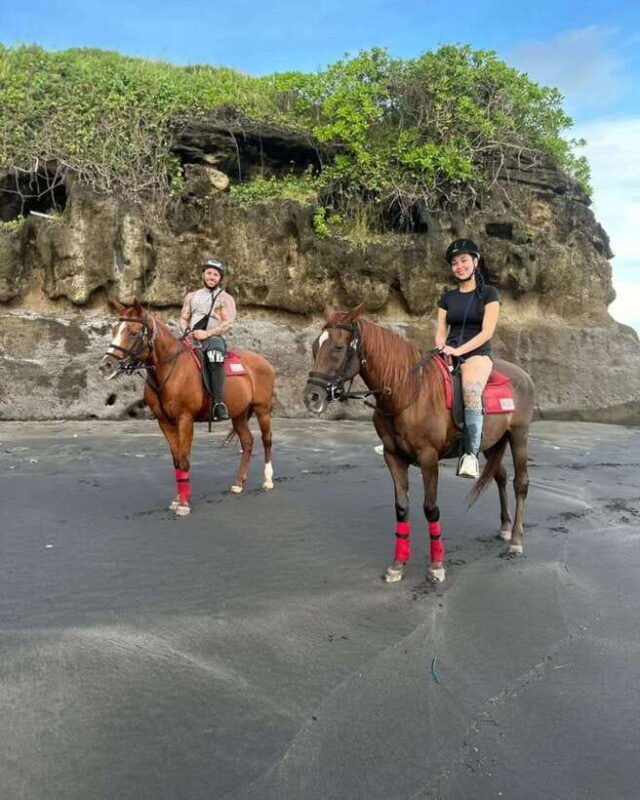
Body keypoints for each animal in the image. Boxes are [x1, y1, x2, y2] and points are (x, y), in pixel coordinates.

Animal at [99, 299, 276, 516]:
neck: (170, 370)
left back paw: (267, 480)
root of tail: (264, 361)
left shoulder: (185, 419)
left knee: (267, 440)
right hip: (239, 413)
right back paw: (238, 483)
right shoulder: (165, 422)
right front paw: (179, 498)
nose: (106, 365)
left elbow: (184, 459)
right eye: (114, 329)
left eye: (133, 332)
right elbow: (177, 460)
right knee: (247, 442)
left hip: (262, 409)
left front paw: (184, 503)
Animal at [304, 303, 535, 583]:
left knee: (520, 483)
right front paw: (397, 564)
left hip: (519, 435)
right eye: (315, 346)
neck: (407, 393)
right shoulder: (393, 457)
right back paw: (505, 527)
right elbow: (402, 508)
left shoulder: (428, 458)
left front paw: (436, 566)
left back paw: (516, 541)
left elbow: (430, 508)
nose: (311, 396)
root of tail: (522, 375)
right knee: (499, 476)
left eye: (338, 348)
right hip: (492, 442)